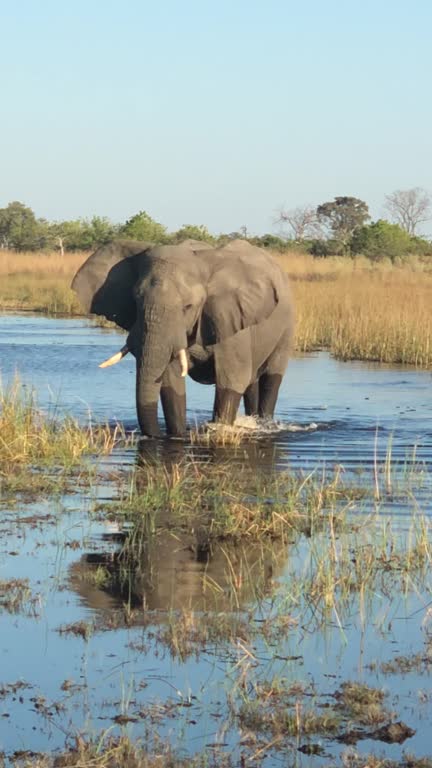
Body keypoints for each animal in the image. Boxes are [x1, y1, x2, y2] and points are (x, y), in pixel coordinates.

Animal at [71, 237, 294, 436]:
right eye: (135, 300)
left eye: (188, 306)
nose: (154, 435)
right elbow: (171, 382)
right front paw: (177, 435)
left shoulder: (231, 320)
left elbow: (232, 379)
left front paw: (219, 429)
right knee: (252, 381)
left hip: (287, 327)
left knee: (271, 378)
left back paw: (265, 423)